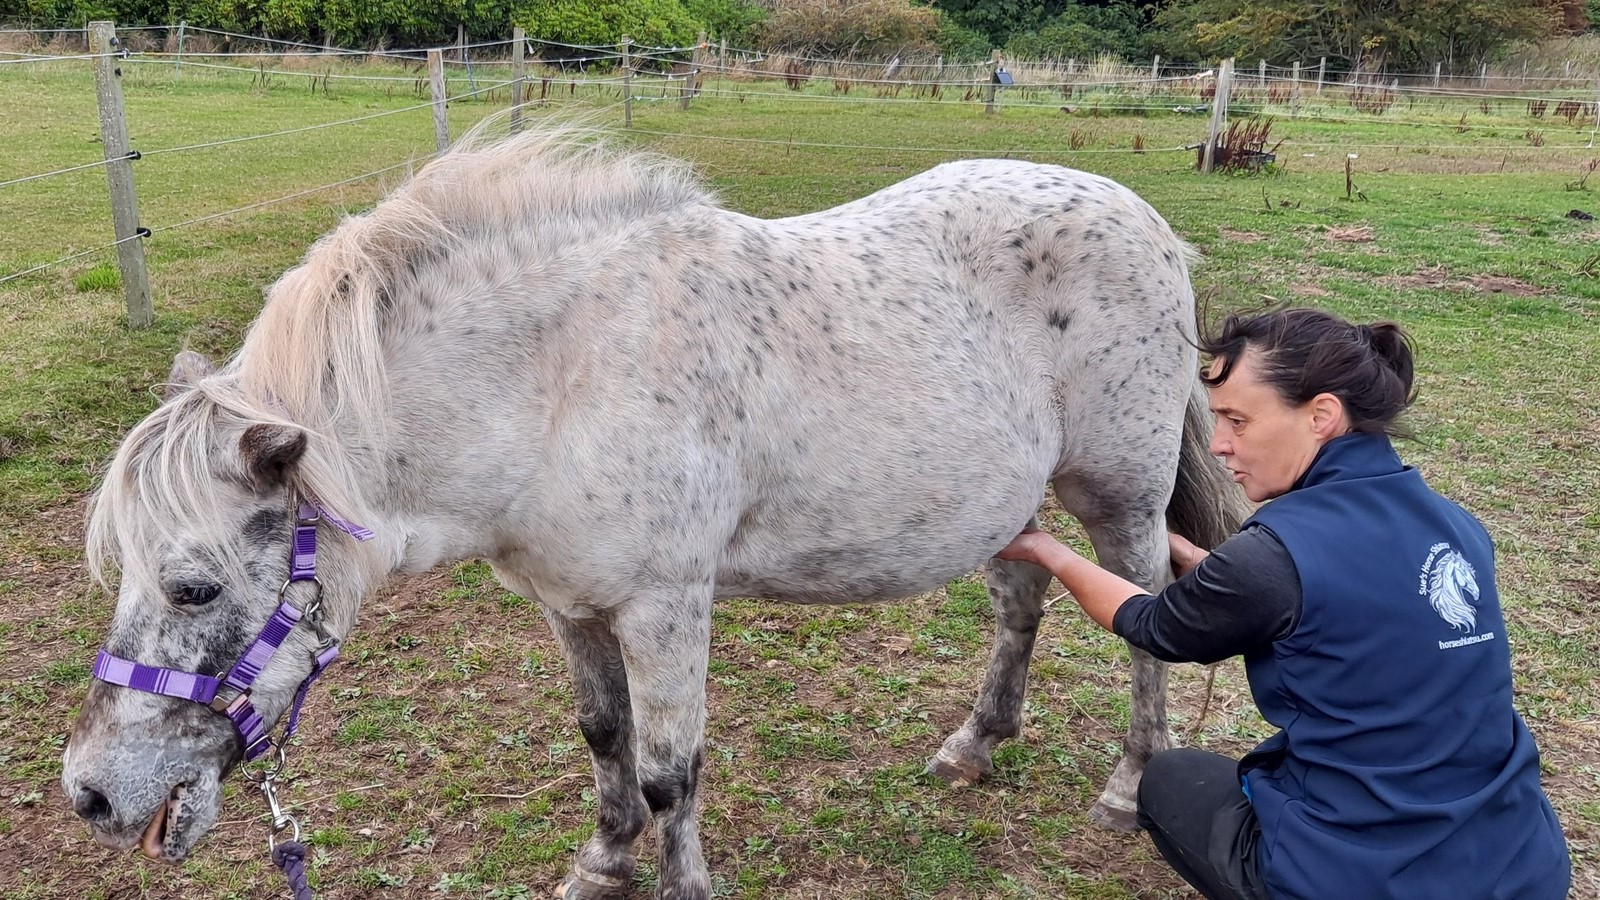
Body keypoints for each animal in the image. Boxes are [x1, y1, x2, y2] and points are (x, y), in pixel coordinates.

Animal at [62, 123, 1246, 899]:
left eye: (192, 586)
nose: (91, 797)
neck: (556, 378)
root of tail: (1149, 224)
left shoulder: (667, 607)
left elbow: (674, 771)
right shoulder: (570, 605)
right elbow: (605, 737)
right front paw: (602, 861)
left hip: (1119, 494)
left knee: (1144, 614)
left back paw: (1127, 789)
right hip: (1008, 504)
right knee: (1020, 600)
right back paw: (974, 745)